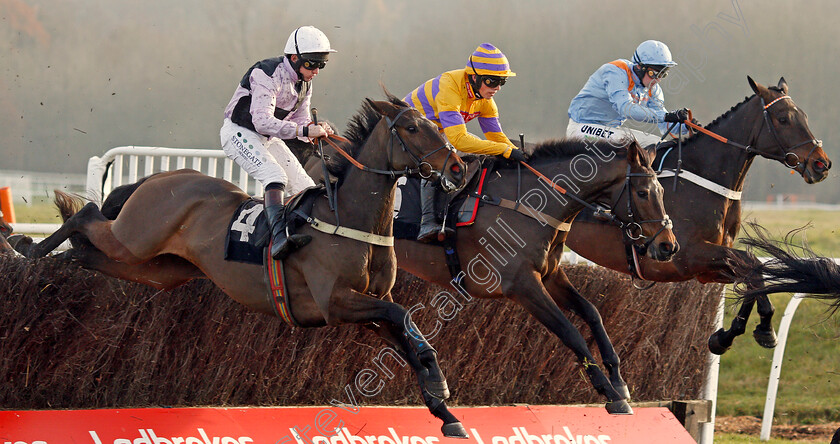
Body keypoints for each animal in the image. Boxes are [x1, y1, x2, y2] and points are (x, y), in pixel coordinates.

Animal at [14, 96, 472, 438]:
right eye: (412, 128)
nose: (458, 167)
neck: (351, 218)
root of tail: (159, 178)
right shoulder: (336, 302)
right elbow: (403, 317)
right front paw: (438, 385)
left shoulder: (369, 306)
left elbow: (406, 333)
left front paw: (445, 410)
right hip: (134, 237)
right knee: (86, 213)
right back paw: (24, 244)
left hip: (154, 268)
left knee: (89, 252)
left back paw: (57, 255)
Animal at [560, 75, 832, 354]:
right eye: (783, 118)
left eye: (804, 116)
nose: (821, 164)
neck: (704, 176)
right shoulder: (686, 256)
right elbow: (752, 263)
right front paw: (763, 328)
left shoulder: (707, 269)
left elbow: (752, 274)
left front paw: (727, 337)